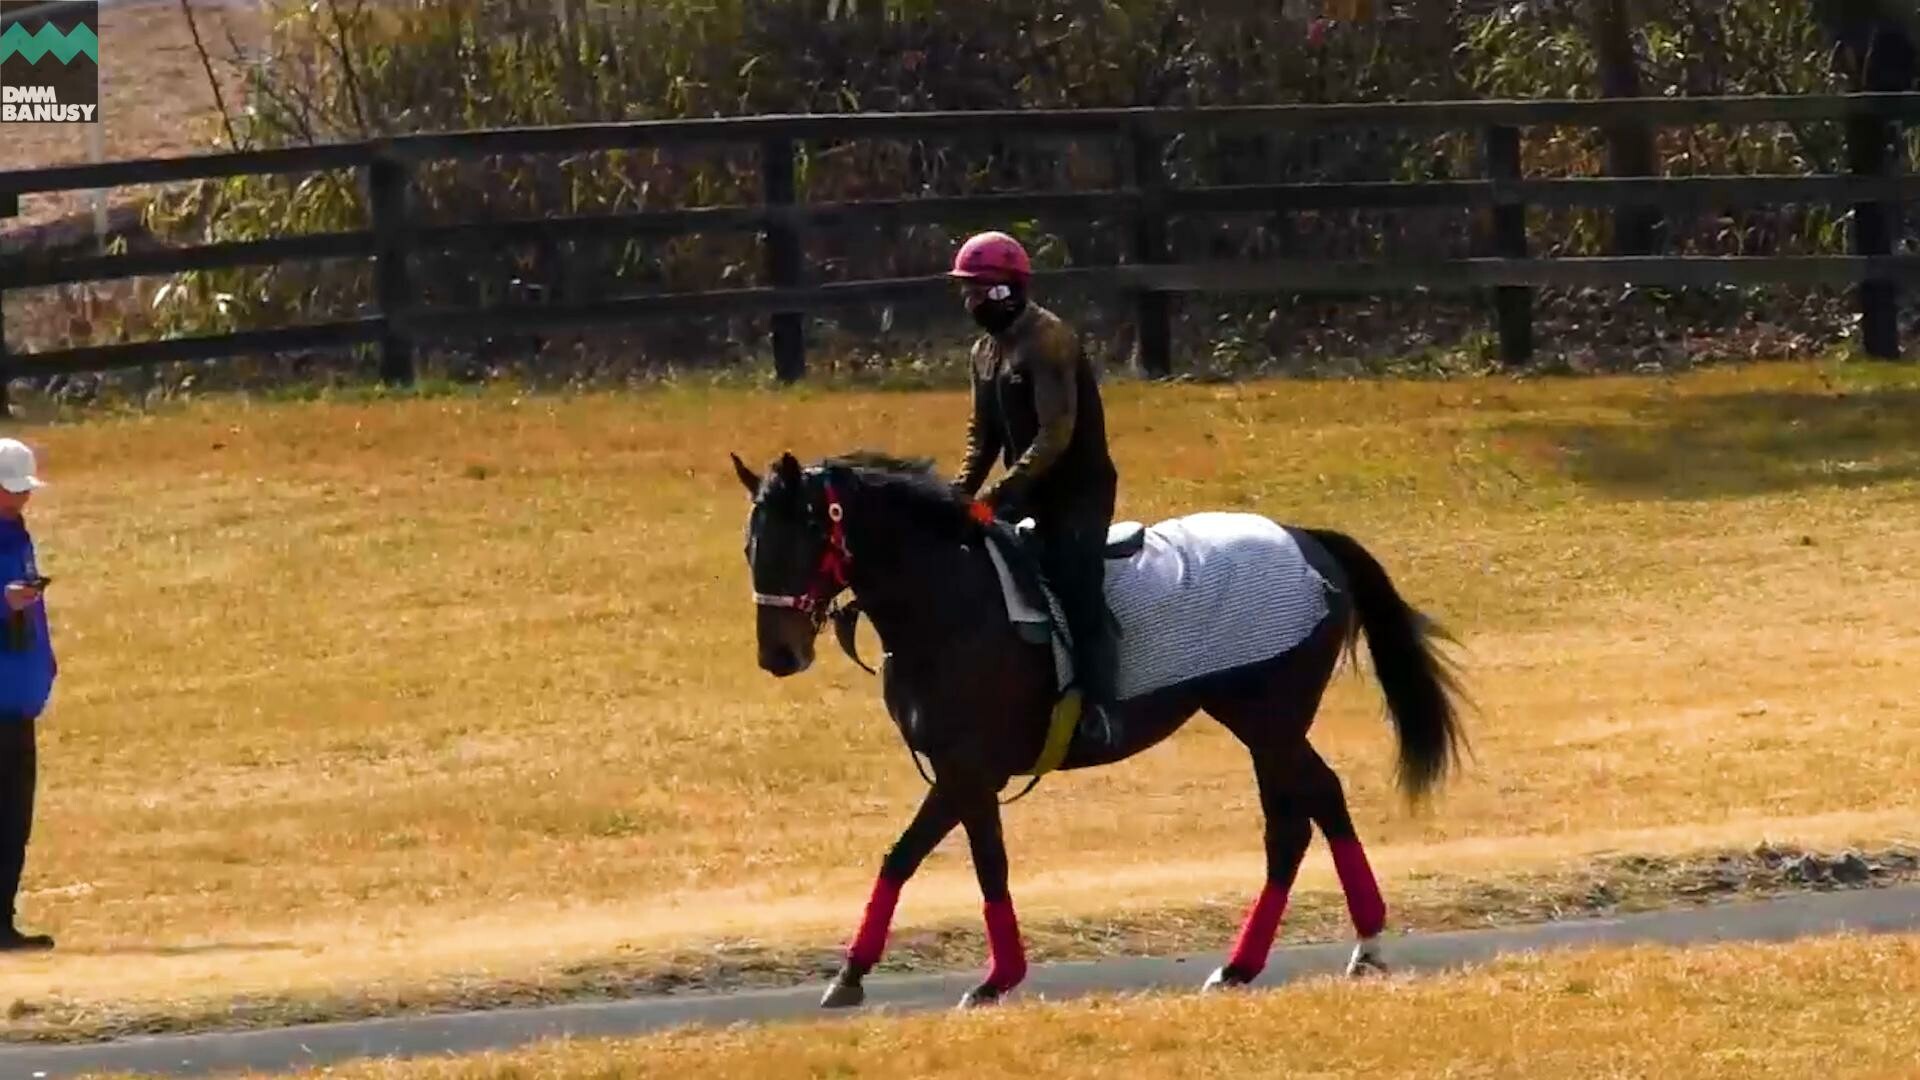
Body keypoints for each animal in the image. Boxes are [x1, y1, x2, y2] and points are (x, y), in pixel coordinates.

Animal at [725, 445, 1459, 1006]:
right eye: (751, 547)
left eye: (803, 538)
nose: (777, 654)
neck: (948, 603)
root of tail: (1306, 538)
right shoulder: (967, 778)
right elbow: (961, 862)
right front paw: (922, 972)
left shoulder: (968, 770)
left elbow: (928, 858)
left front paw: (976, 976)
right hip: (1260, 727)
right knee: (1301, 819)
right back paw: (1255, 962)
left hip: (1269, 722)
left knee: (1310, 811)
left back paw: (1350, 946)